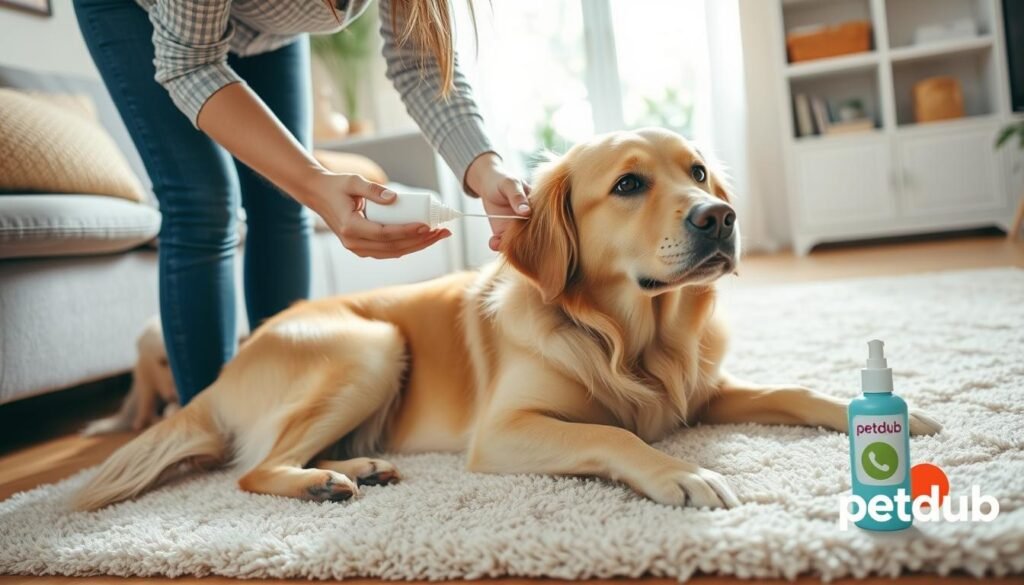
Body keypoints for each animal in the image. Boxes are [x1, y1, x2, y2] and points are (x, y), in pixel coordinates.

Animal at [72, 129, 937, 512]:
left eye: (696, 172)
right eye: (628, 184)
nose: (720, 217)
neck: (629, 337)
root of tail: (218, 375)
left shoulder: (697, 387)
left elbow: (793, 390)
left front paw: (898, 413)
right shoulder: (506, 429)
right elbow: (612, 433)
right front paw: (682, 472)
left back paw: (357, 467)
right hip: (371, 345)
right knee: (250, 469)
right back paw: (324, 480)